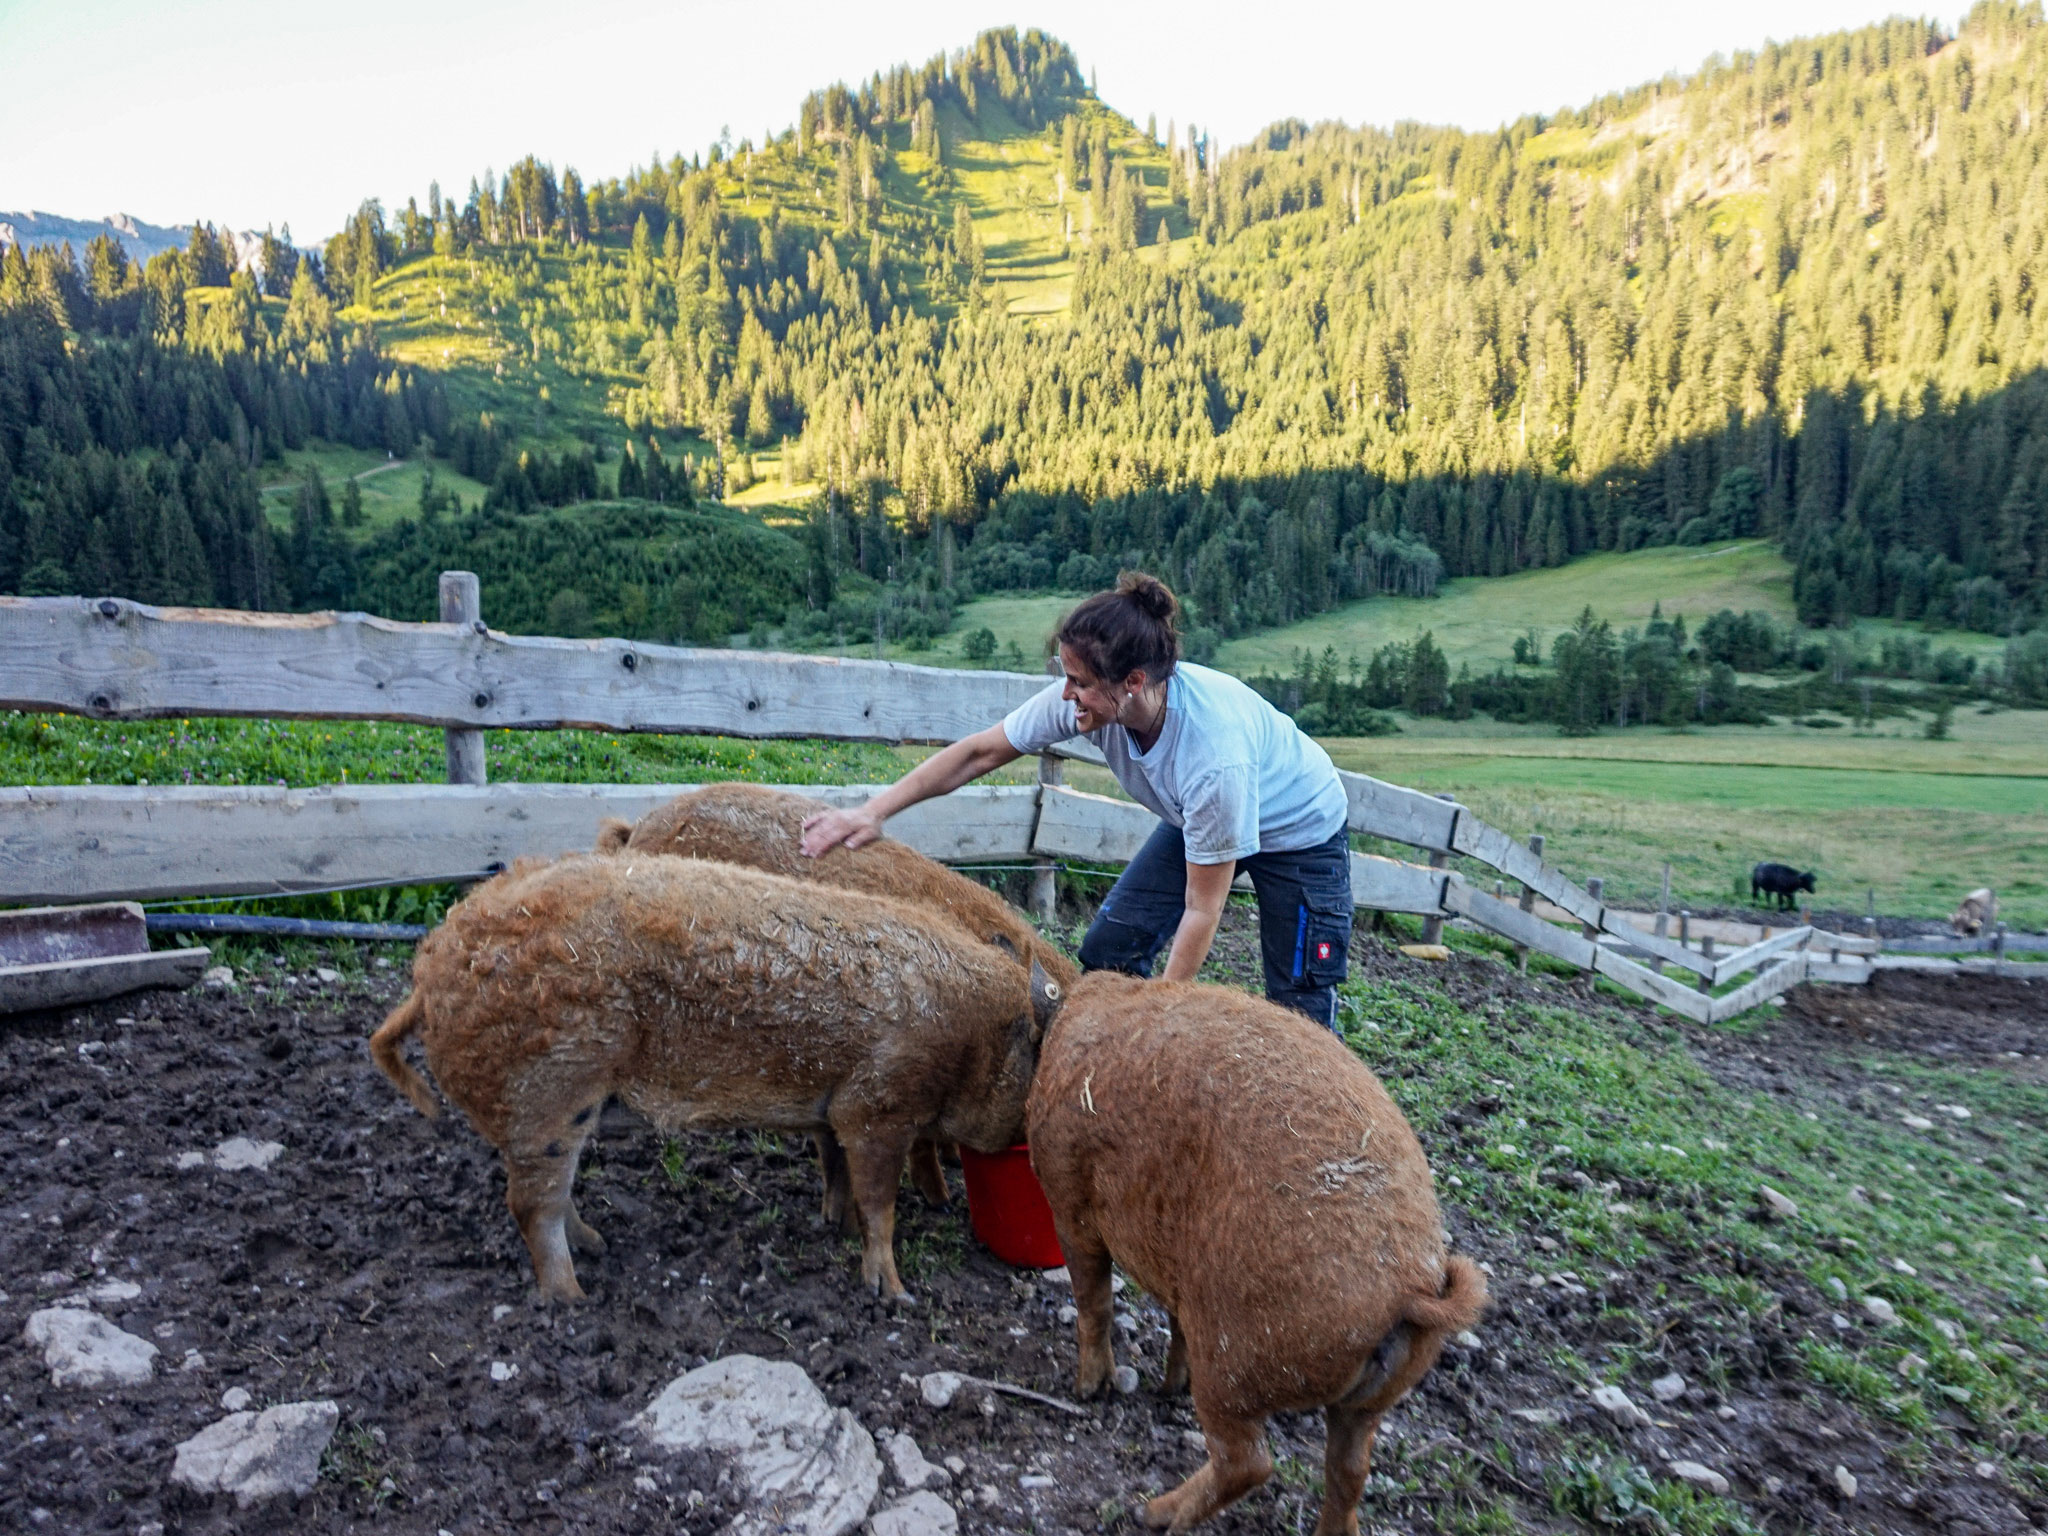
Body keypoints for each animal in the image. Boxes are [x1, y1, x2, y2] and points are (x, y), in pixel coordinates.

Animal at [370, 856, 1064, 1310]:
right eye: (1036, 1065)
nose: (1028, 1142)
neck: (973, 1033)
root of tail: (428, 972)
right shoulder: (879, 1105)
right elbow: (879, 1204)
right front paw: (893, 1296)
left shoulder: (834, 1107)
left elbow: (834, 1168)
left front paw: (832, 1226)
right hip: (546, 1093)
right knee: (530, 1205)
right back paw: (574, 1300)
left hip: (552, 1114)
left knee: (552, 1196)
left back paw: (598, 1246)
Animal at [1032, 978, 1482, 1531]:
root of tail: (1412, 1291)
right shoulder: (1182, 1275)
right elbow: (1173, 1325)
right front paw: (1168, 1387)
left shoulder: (1069, 1202)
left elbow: (1093, 1299)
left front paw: (1086, 1390)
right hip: (1370, 1401)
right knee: (1351, 1470)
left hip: (1236, 1362)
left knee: (1249, 1463)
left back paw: (1155, 1513)